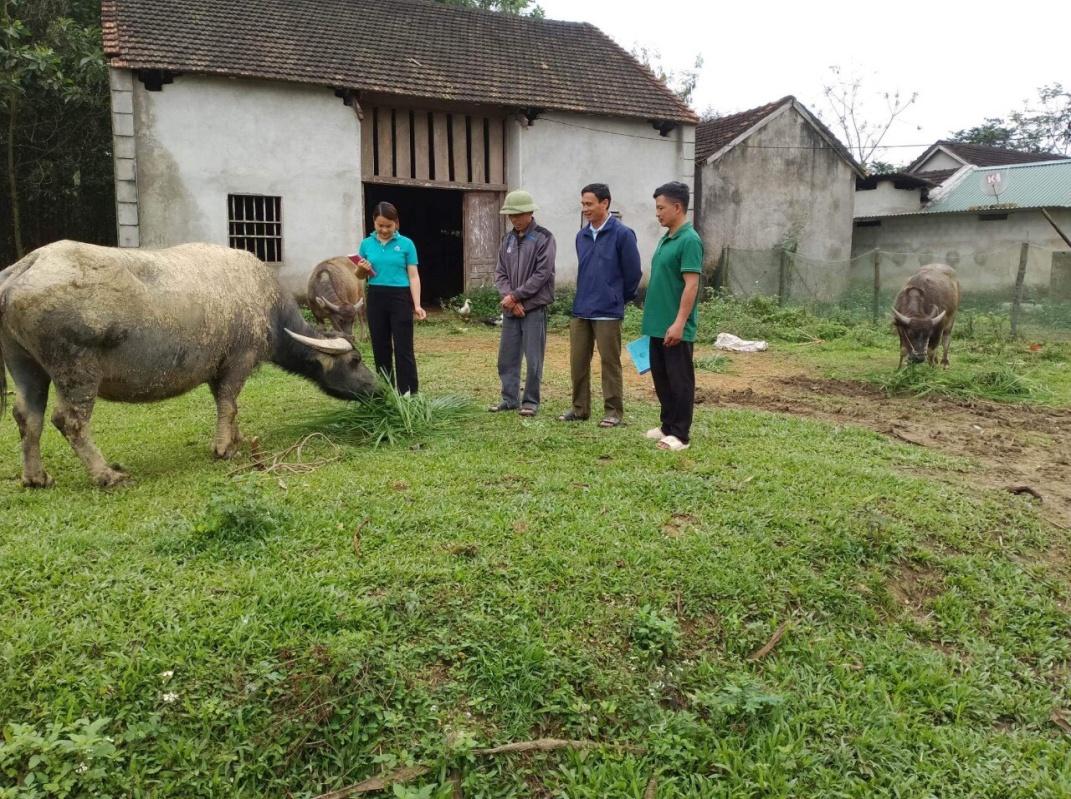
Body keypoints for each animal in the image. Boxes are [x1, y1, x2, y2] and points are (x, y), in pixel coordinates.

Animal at [0, 237, 379, 486]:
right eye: (356, 359)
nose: (377, 389)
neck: (268, 307)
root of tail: (23, 268)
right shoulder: (239, 360)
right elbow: (229, 402)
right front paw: (224, 448)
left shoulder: (218, 367)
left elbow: (228, 405)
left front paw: (236, 438)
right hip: (76, 370)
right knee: (69, 420)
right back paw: (107, 474)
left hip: (26, 366)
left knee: (27, 416)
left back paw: (35, 477)